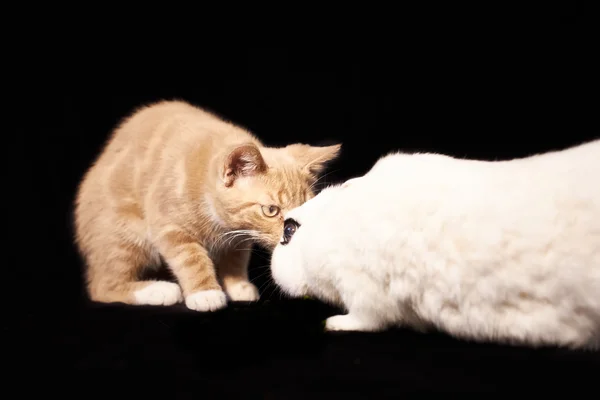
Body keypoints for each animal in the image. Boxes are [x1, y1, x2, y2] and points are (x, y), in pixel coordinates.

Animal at [72, 100, 340, 312]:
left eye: (305, 205)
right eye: (271, 210)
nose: (292, 232)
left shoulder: (239, 235)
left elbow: (236, 258)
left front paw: (237, 285)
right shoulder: (168, 225)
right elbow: (190, 258)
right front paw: (205, 293)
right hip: (124, 234)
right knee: (103, 285)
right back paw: (157, 290)